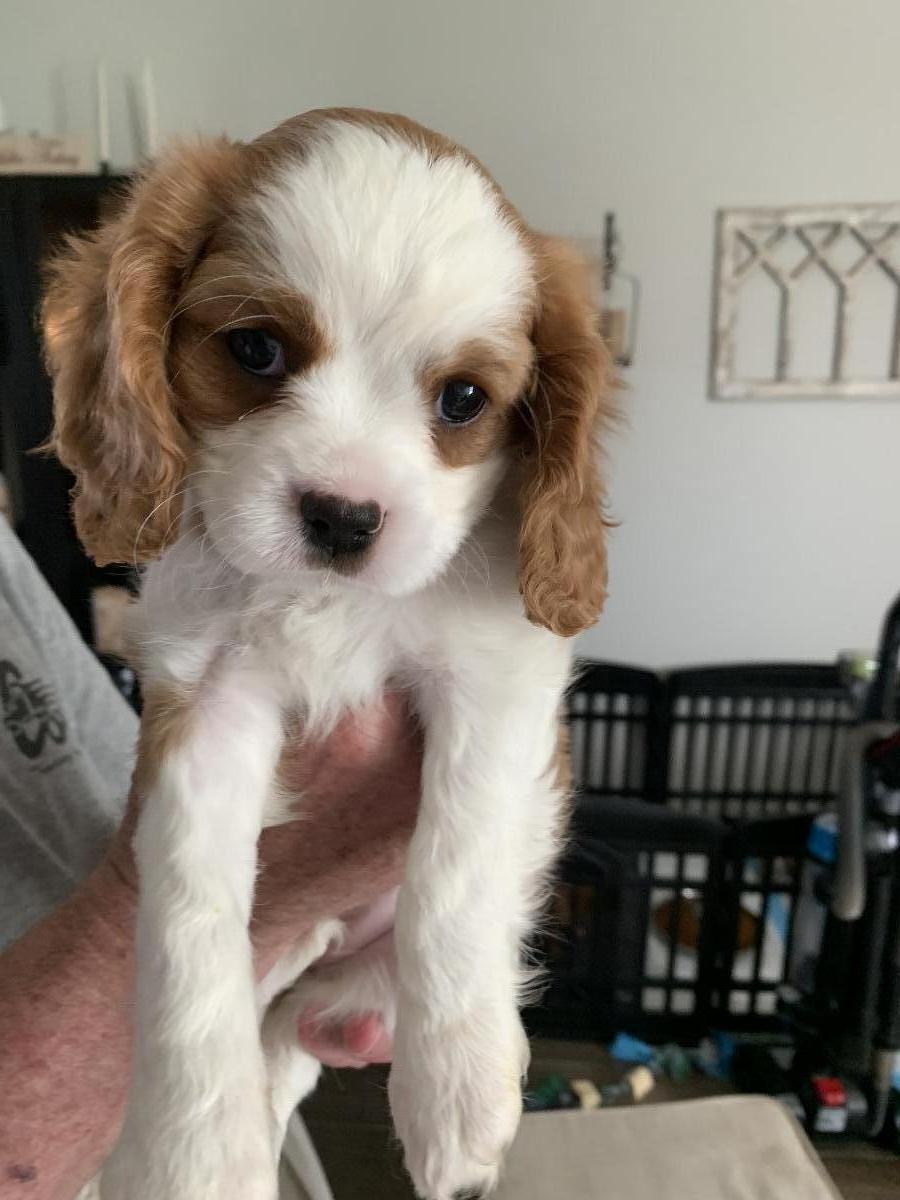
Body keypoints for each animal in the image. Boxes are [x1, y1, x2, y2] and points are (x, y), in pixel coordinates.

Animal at [44, 108, 613, 1200]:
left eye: (463, 401)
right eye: (257, 349)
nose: (345, 517)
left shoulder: (495, 680)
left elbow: (455, 868)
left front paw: (457, 1090)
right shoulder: (202, 701)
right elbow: (188, 919)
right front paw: (193, 1152)